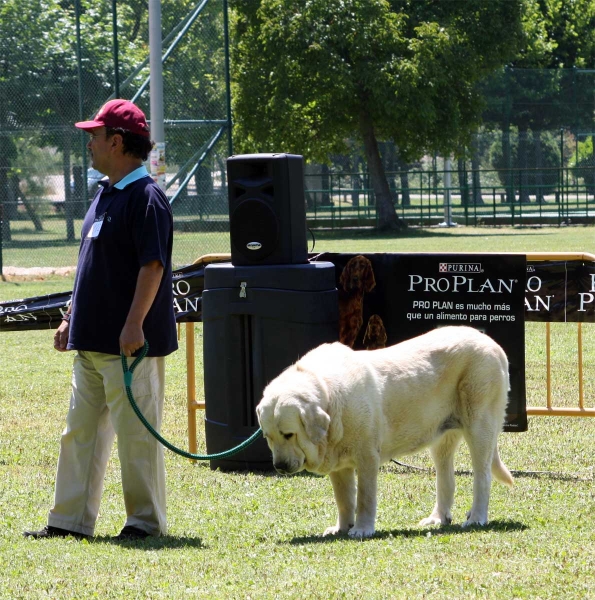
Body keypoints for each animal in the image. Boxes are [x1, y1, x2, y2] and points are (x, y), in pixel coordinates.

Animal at [255, 326, 512, 540]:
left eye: (289, 434)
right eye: (268, 437)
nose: (280, 466)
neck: (330, 398)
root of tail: (491, 343)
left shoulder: (367, 456)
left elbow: (364, 497)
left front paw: (361, 529)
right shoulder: (339, 464)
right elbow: (343, 499)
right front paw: (341, 528)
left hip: (480, 424)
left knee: (482, 475)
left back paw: (476, 518)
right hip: (441, 436)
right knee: (445, 474)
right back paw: (438, 518)